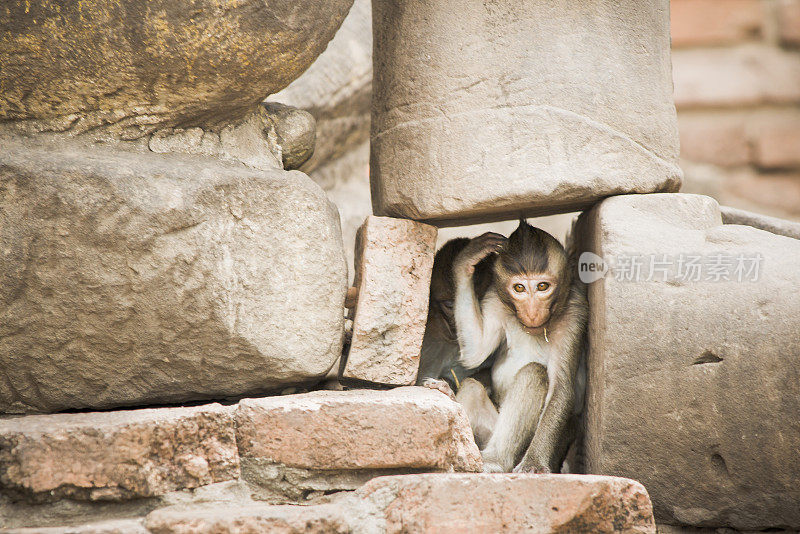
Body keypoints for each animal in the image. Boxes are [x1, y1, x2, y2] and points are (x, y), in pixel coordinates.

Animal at [418, 220, 588, 476]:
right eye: (518, 288)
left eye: (542, 286)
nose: (532, 312)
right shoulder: (495, 300)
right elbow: (475, 352)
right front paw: (466, 260)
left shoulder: (575, 313)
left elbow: (561, 388)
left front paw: (534, 462)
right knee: (472, 387)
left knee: (533, 373)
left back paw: (497, 460)